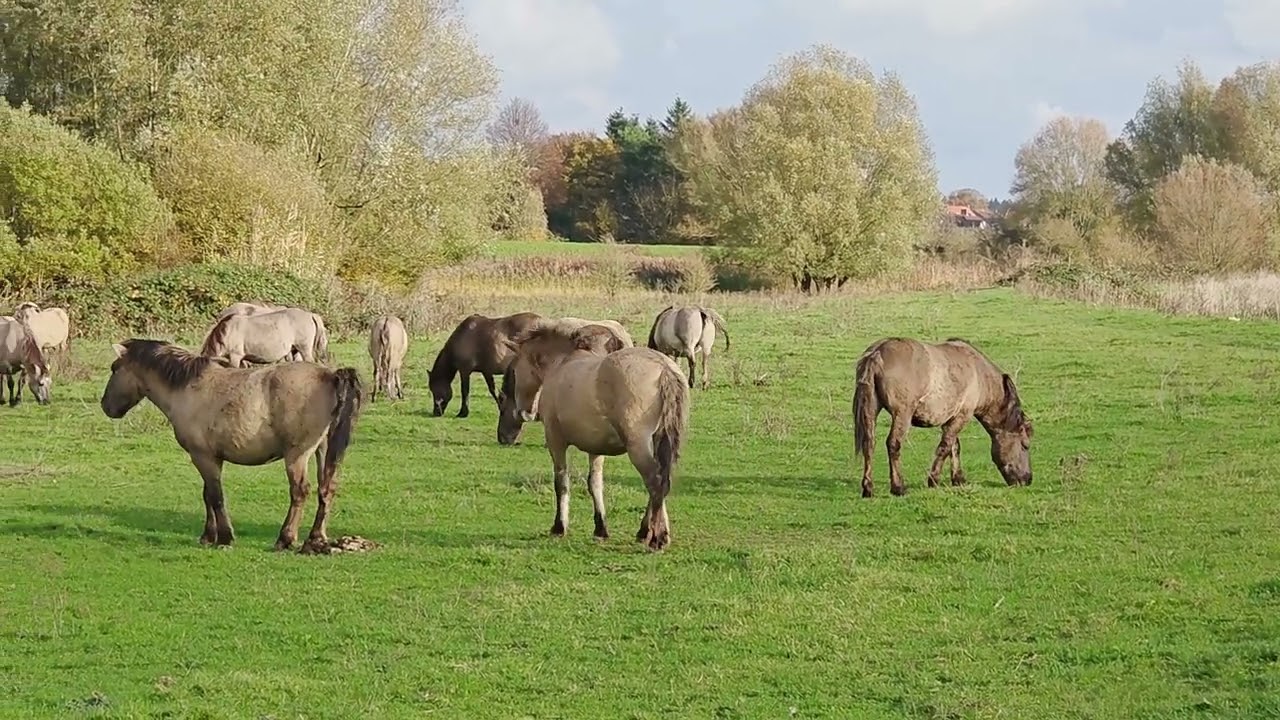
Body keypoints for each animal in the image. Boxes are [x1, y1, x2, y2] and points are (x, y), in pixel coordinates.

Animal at [100, 339, 364, 552]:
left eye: (114, 368)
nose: (105, 406)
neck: (188, 388)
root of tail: (330, 376)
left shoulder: (202, 456)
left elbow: (216, 496)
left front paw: (225, 538)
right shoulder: (210, 458)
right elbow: (207, 494)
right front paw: (208, 536)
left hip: (297, 455)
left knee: (300, 491)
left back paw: (285, 539)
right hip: (323, 450)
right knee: (327, 489)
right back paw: (316, 538)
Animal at [200, 307, 329, 368]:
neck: (226, 332)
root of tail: (310, 314)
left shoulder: (235, 357)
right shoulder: (242, 359)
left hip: (304, 349)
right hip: (295, 350)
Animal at [505, 322, 690, 551]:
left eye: (515, 370)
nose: (523, 412)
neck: (562, 363)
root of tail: (664, 368)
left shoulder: (556, 441)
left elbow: (561, 482)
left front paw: (559, 527)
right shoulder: (596, 448)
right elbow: (595, 484)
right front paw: (600, 528)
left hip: (638, 446)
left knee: (655, 483)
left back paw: (657, 537)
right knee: (662, 482)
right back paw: (646, 532)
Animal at [852, 337, 1034, 498]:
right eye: (1025, 445)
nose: (1027, 479)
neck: (978, 373)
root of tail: (877, 354)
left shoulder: (951, 417)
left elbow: (954, 446)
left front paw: (958, 479)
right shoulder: (962, 416)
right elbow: (945, 447)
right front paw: (934, 479)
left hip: (871, 410)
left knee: (869, 444)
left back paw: (868, 488)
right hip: (902, 414)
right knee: (893, 444)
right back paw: (898, 487)